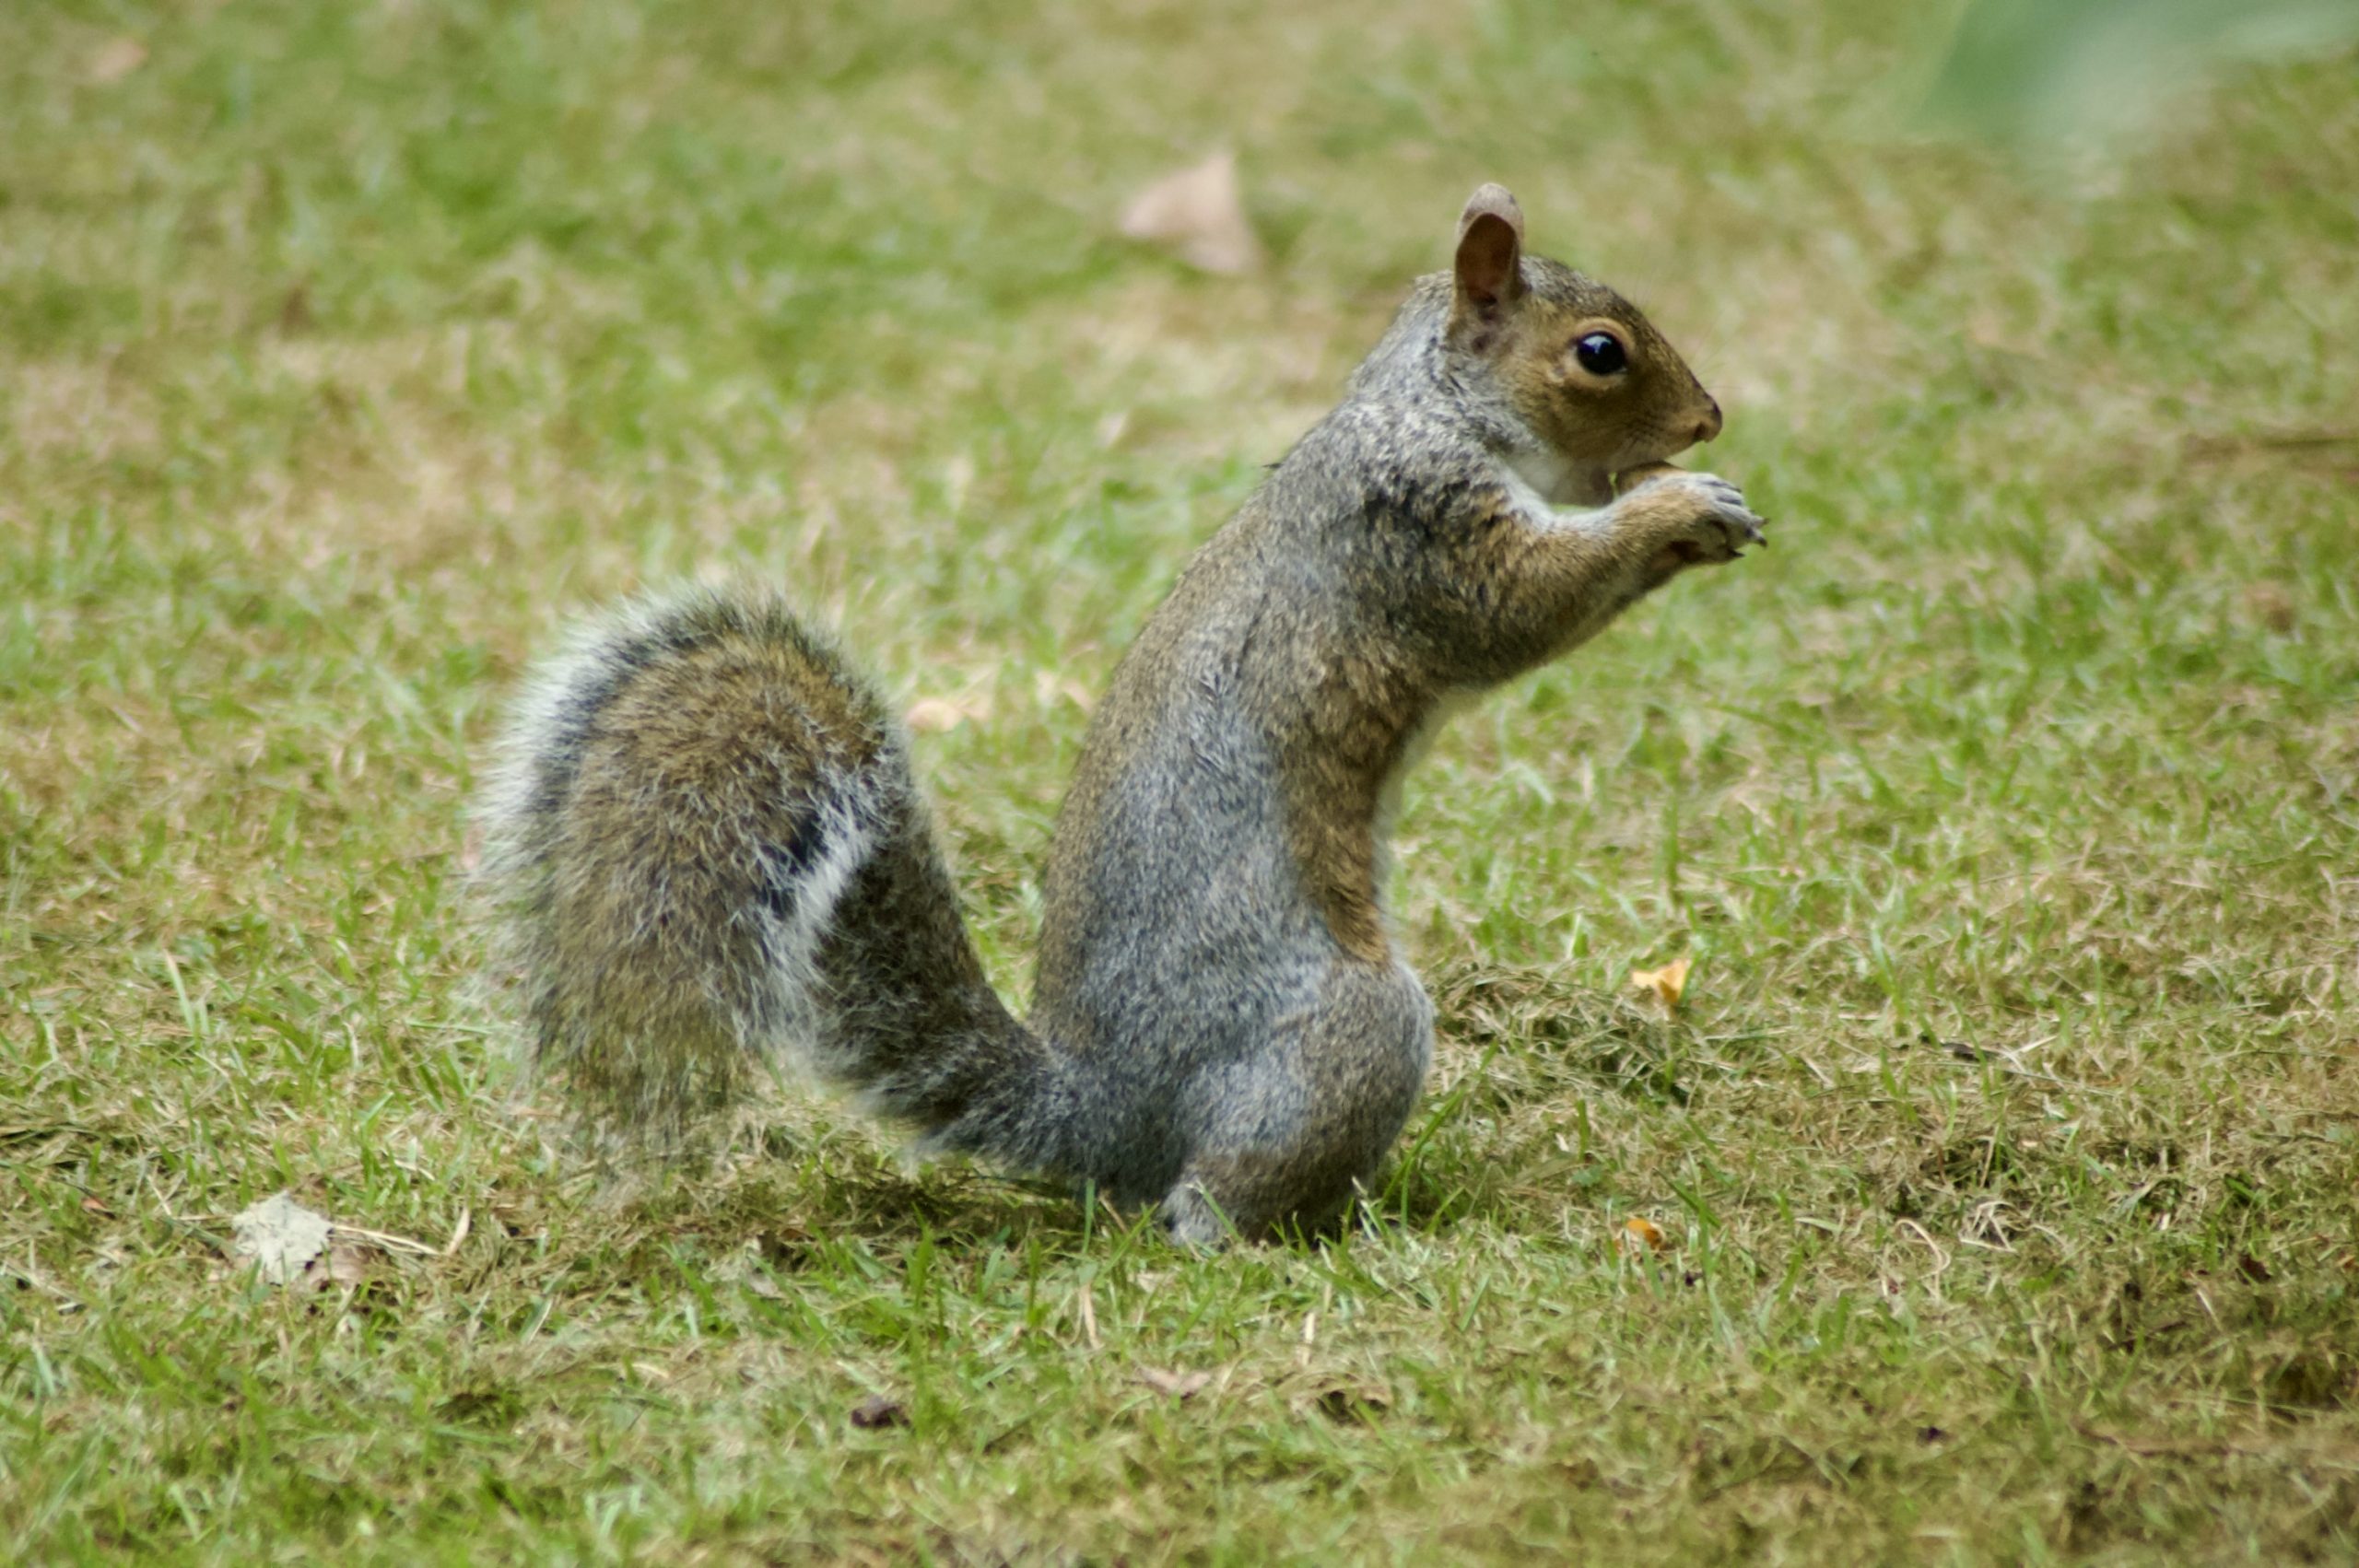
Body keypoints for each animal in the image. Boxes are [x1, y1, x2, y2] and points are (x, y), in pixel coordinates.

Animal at [477, 184, 1764, 1245]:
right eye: (1598, 352)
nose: (1706, 419)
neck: (1425, 410)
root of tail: (1101, 1113)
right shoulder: (1418, 529)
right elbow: (1524, 608)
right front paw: (1681, 512)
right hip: (1347, 1029)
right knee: (1205, 1207)